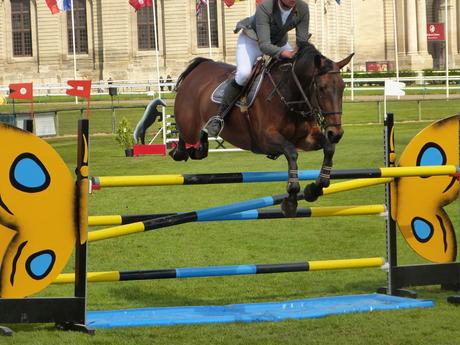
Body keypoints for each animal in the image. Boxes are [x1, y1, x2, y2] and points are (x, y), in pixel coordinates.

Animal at [171, 43, 354, 215]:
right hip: (188, 125)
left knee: (199, 144)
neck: (290, 96)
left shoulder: (306, 139)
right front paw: (291, 201)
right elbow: (291, 152)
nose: (336, 133)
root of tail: (201, 66)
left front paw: (314, 189)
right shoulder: (265, 140)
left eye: (343, 87)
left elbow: (329, 148)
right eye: (321, 88)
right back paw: (179, 151)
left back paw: (200, 146)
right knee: (184, 135)